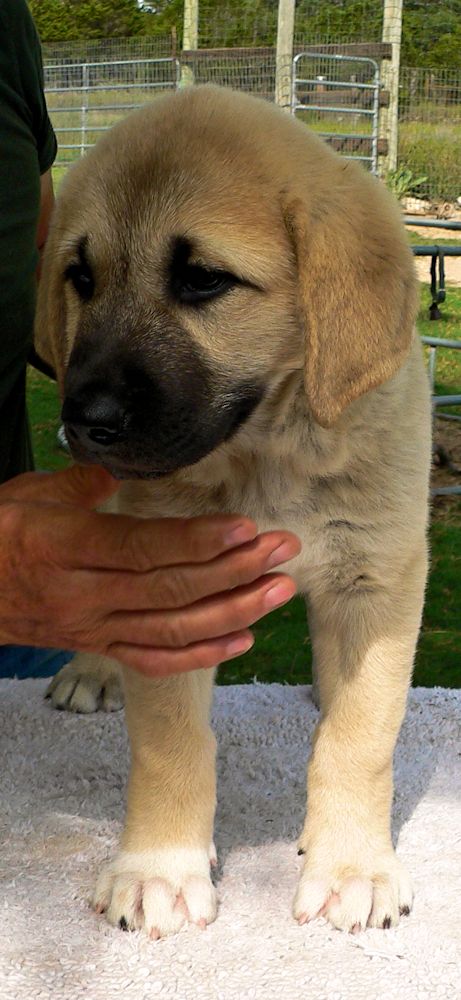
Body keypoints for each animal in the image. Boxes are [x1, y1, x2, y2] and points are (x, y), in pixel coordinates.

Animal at [35, 86, 428, 936]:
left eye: (203, 281)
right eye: (81, 276)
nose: (85, 420)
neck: (266, 449)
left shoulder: (378, 577)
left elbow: (360, 737)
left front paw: (351, 865)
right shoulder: (170, 589)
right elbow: (170, 742)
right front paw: (159, 868)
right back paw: (92, 670)